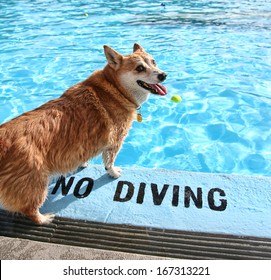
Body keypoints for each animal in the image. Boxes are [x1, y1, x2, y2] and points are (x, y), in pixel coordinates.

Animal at [0, 42, 168, 224]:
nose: (163, 75)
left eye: (154, 62)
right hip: (36, 182)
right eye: (139, 68)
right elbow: (109, 162)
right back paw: (43, 219)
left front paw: (83, 164)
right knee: (29, 209)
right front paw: (113, 173)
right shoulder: (115, 142)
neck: (115, 89)